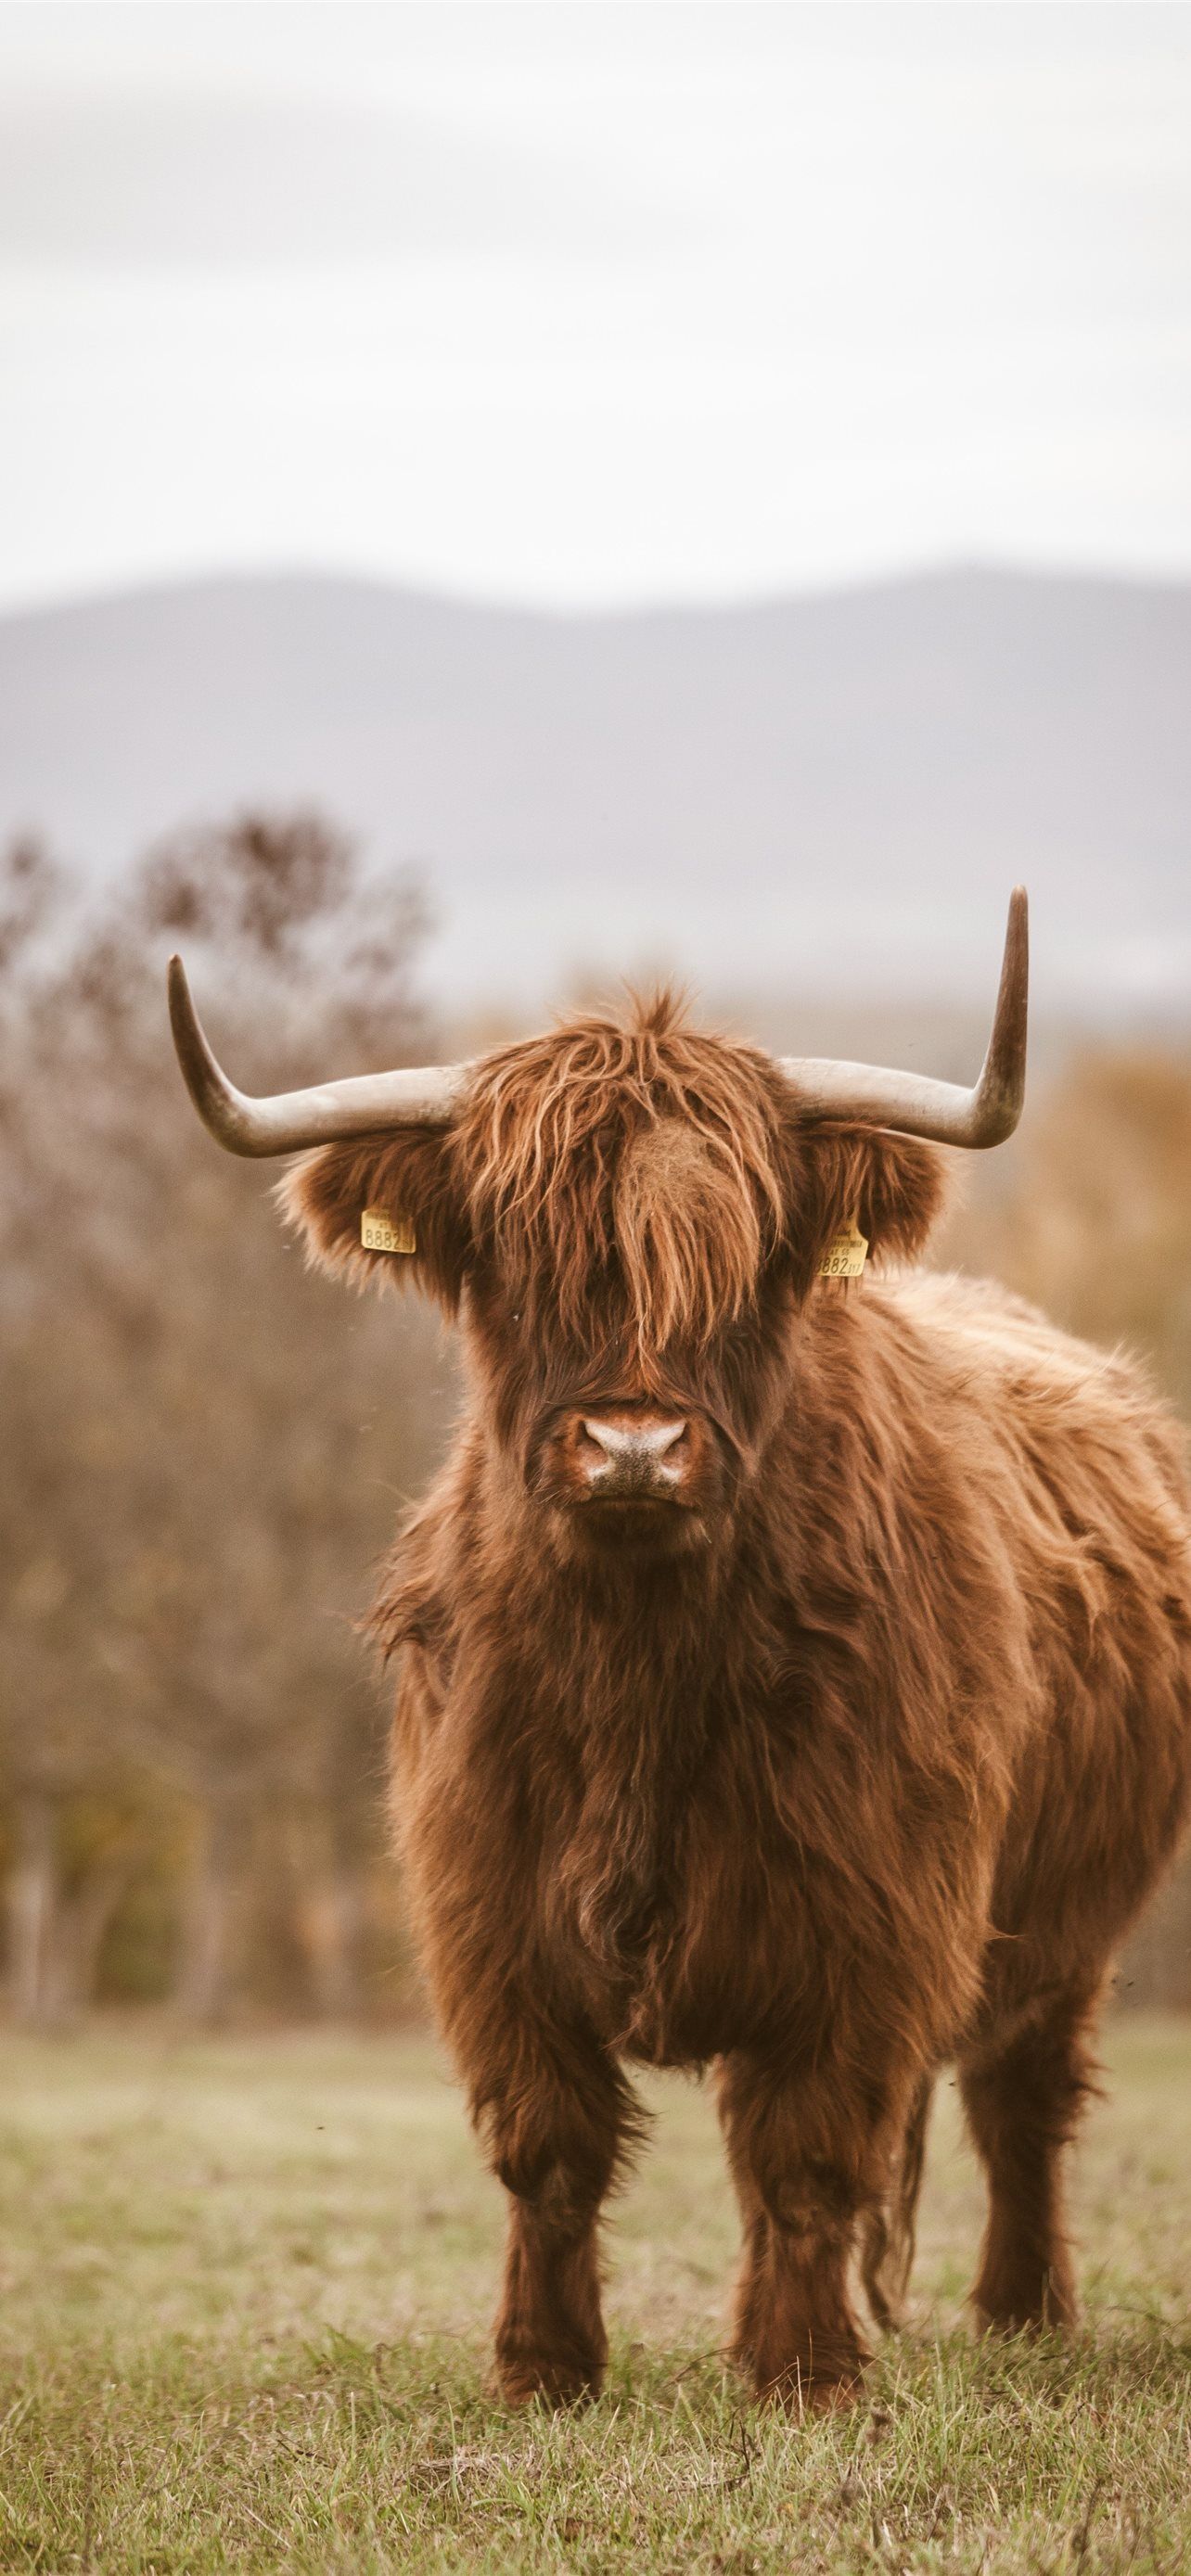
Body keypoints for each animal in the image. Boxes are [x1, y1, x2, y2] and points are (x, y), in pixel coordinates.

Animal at [168, 890, 1191, 2414]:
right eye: (516, 1258)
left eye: (745, 1263)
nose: (634, 1445)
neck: (638, 1663)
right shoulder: (488, 1907)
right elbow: (549, 2149)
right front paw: (544, 2370)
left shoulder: (869, 1915)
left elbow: (807, 2151)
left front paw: (802, 2372)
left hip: (1071, 1914)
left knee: (1022, 2097)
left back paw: (1024, 2315)